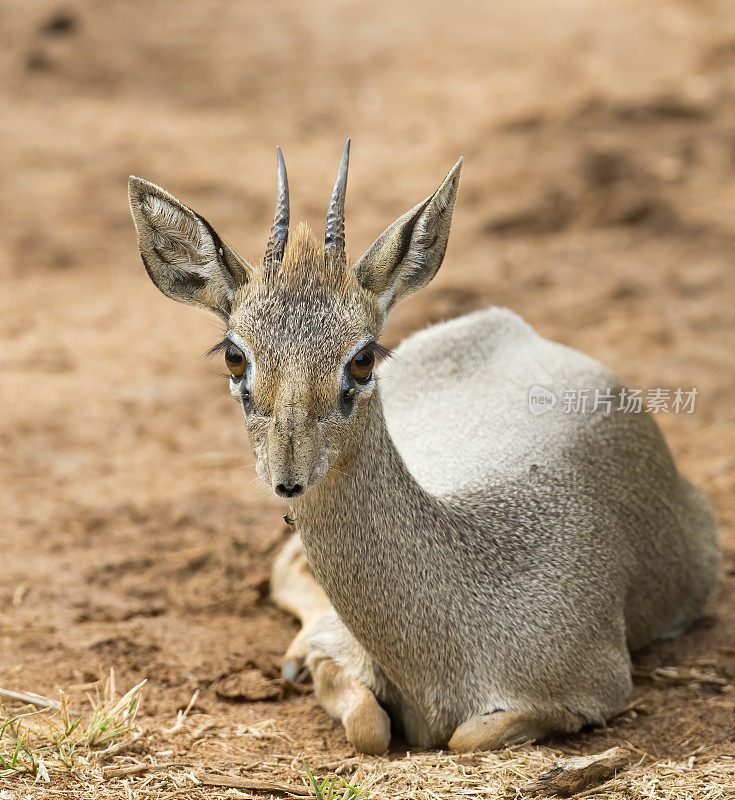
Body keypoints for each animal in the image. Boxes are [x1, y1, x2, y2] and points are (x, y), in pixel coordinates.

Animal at [128, 145, 720, 756]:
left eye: (363, 357)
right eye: (234, 356)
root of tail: (508, 321)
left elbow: (464, 735)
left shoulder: (596, 691)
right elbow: (368, 724)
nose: (288, 476)